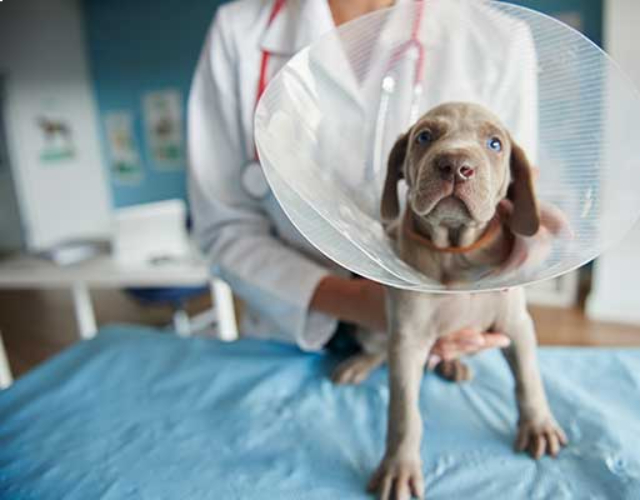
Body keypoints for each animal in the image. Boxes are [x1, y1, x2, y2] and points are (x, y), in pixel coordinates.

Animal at [332, 102, 568, 500]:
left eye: (494, 143)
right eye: (424, 136)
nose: (456, 165)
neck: (456, 251)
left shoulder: (517, 325)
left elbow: (529, 377)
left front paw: (539, 425)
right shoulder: (408, 339)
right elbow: (404, 412)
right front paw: (398, 467)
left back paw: (453, 364)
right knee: (379, 349)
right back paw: (358, 364)